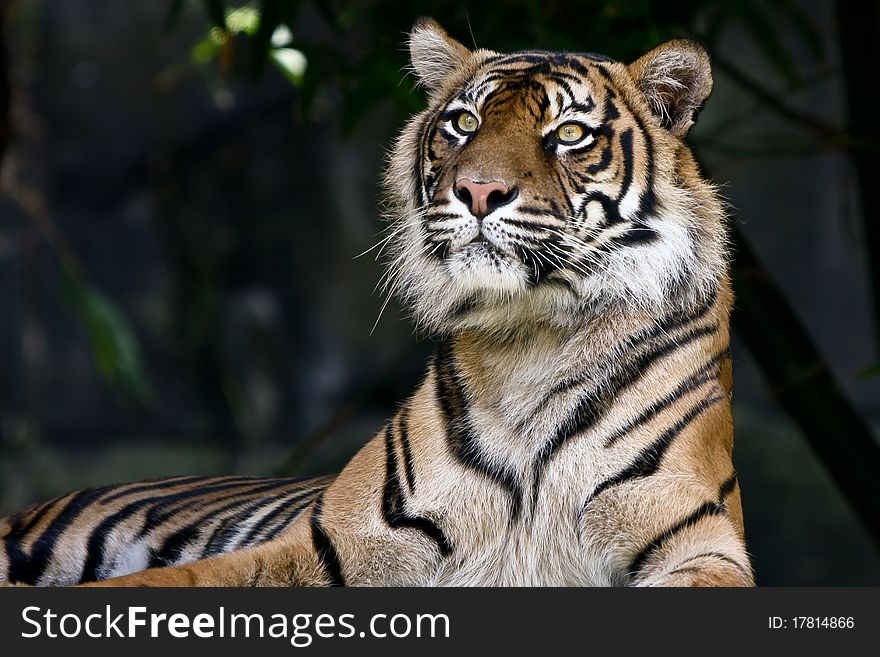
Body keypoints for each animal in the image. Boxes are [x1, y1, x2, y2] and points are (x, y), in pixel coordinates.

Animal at [3, 18, 752, 588]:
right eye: (463, 123)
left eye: (569, 134)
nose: (478, 191)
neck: (531, 336)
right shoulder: (330, 547)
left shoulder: (697, 543)